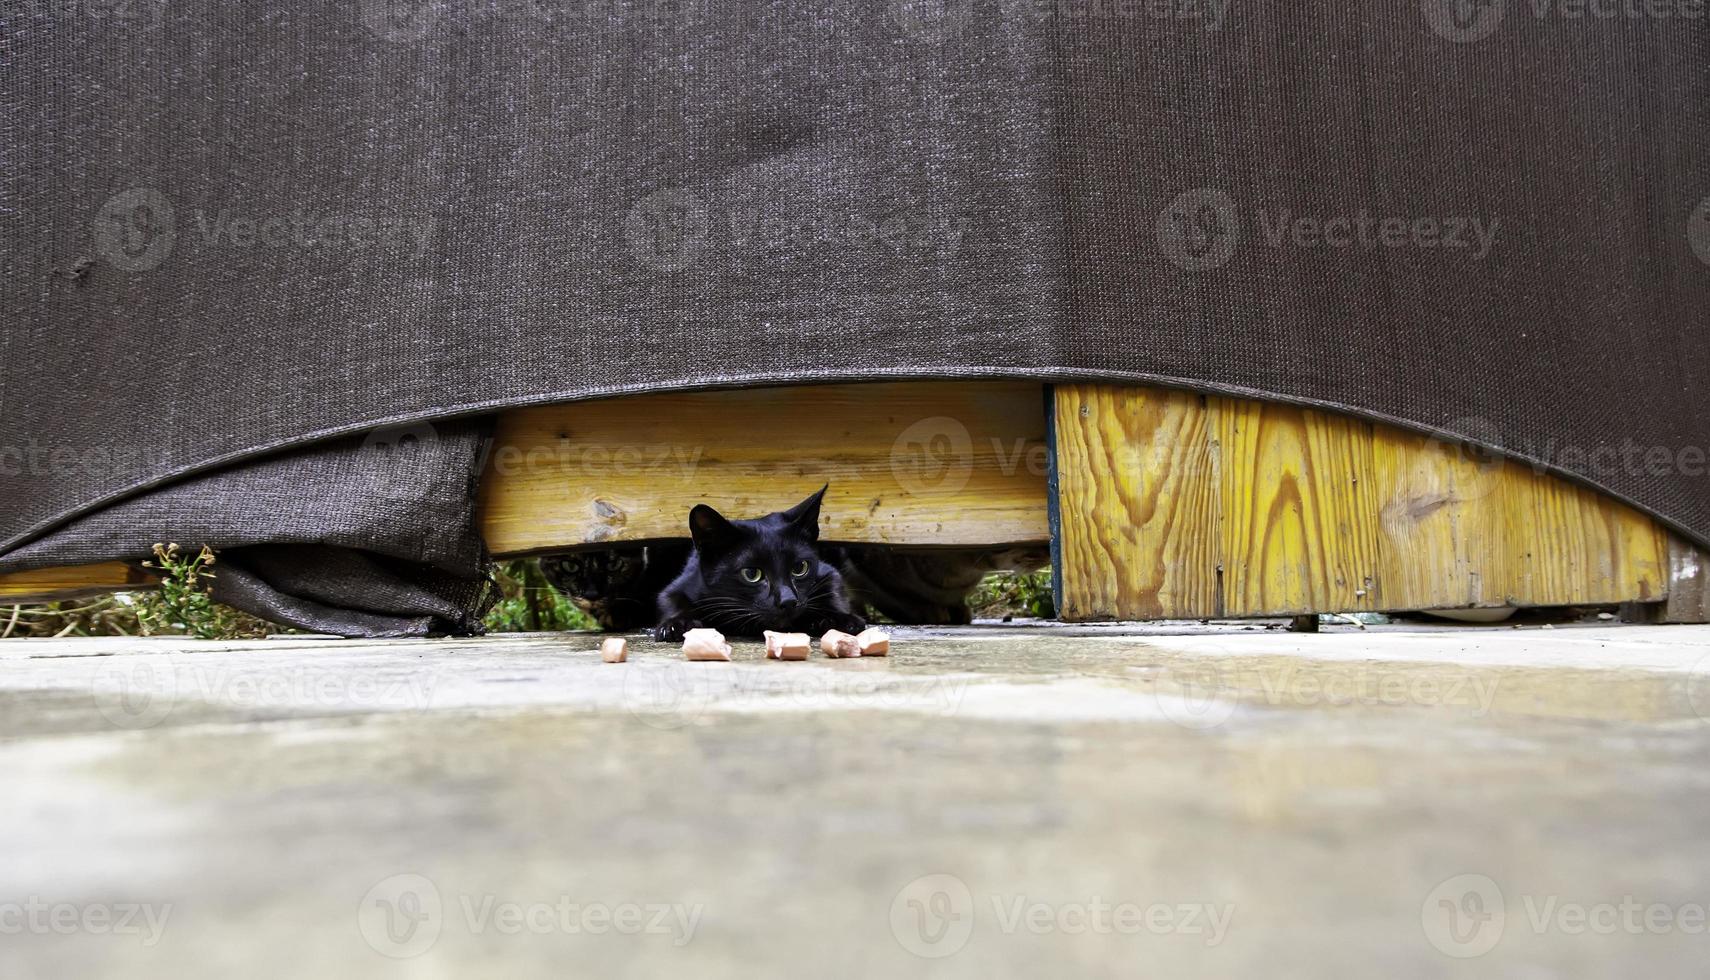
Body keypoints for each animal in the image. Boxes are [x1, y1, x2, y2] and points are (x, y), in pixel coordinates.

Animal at [653, 485, 868, 643]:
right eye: (751, 574)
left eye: (800, 568)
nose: (788, 601)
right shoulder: (683, 584)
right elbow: (671, 599)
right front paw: (675, 624)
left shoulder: (827, 572)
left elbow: (834, 588)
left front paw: (841, 619)